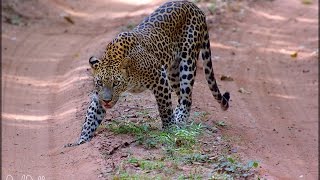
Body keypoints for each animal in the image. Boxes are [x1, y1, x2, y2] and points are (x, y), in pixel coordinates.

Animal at [65, 0, 230, 146]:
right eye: (99, 83)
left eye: (115, 83)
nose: (106, 101)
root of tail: (194, 6)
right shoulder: (97, 94)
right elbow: (91, 116)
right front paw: (81, 140)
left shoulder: (159, 77)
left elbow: (164, 107)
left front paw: (169, 128)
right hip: (173, 72)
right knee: (182, 95)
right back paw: (178, 116)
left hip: (187, 61)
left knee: (186, 97)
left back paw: (180, 121)